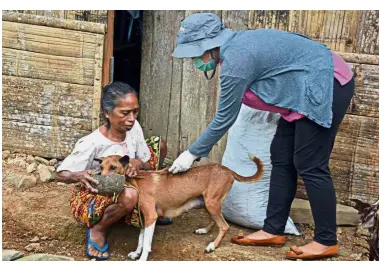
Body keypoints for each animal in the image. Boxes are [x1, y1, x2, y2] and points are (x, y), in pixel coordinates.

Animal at [98, 154, 264, 260]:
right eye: (101, 167)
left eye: (113, 167)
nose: (99, 183)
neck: (137, 181)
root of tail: (227, 170)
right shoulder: (144, 219)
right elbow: (140, 239)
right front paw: (135, 253)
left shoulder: (151, 217)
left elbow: (146, 243)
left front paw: (142, 259)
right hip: (208, 204)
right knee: (215, 221)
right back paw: (204, 230)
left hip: (211, 203)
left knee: (224, 226)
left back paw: (212, 246)